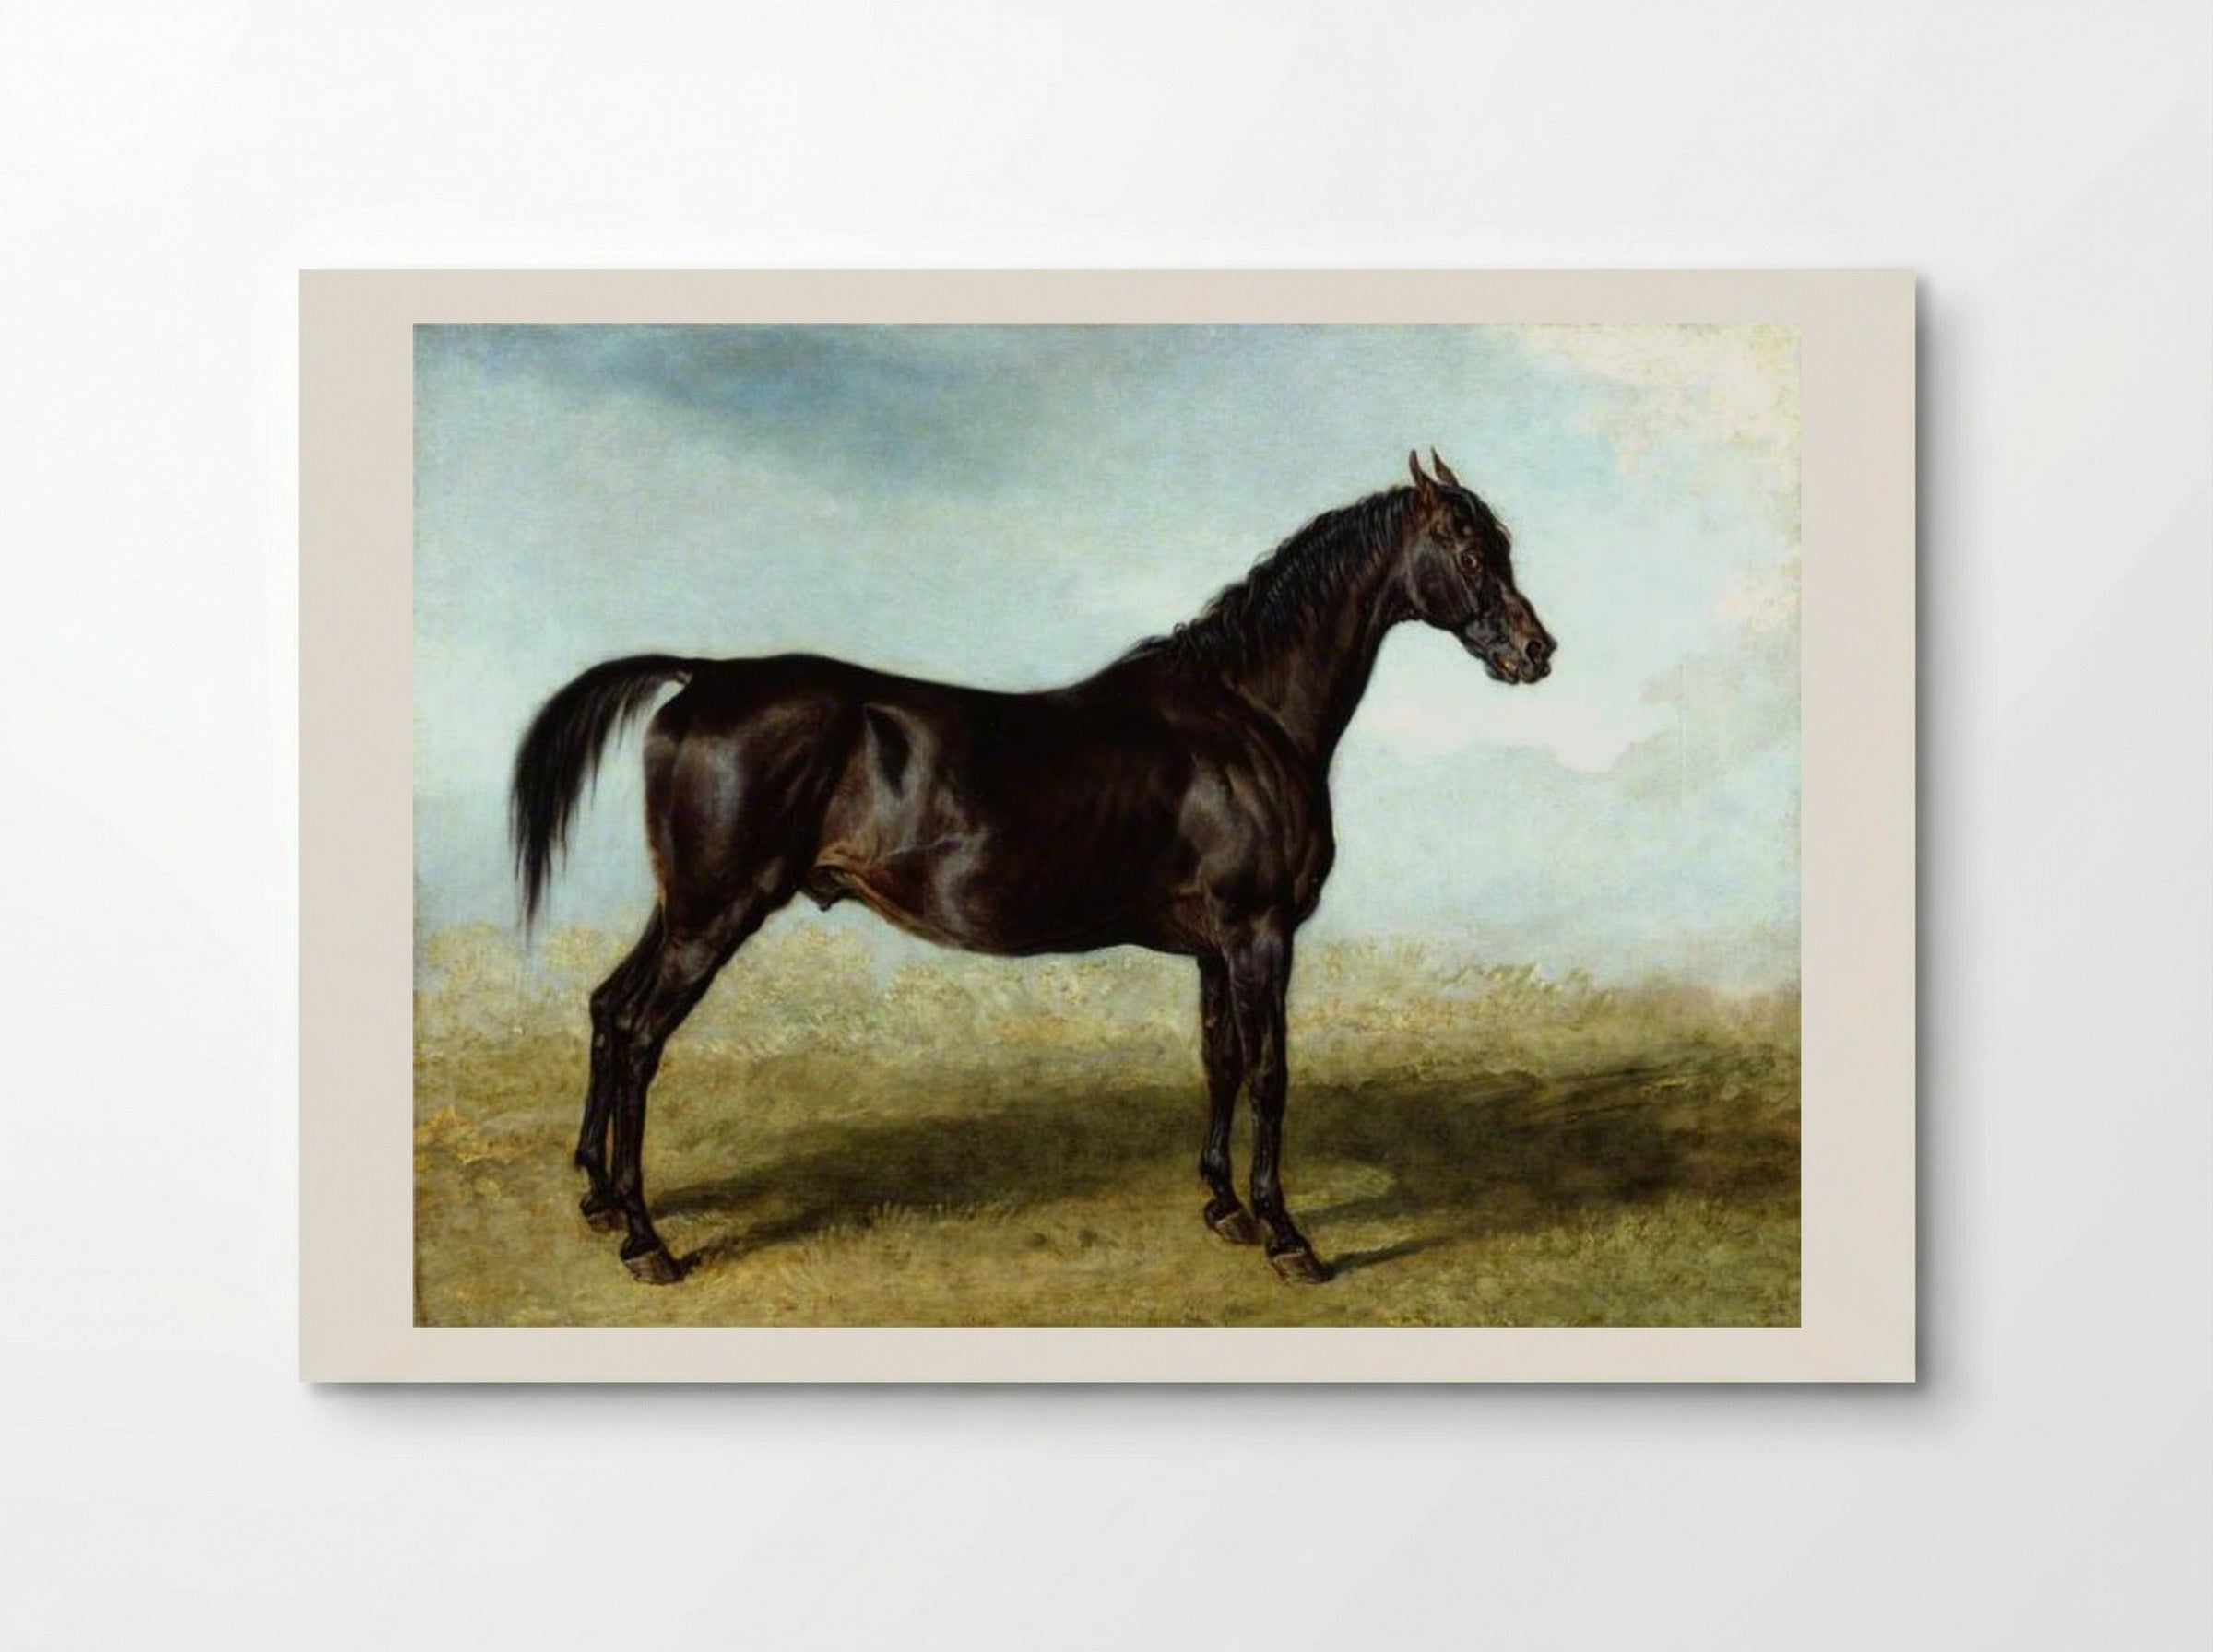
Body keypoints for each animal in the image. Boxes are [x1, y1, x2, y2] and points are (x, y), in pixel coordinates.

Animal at [510, 451, 1556, 1287]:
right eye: (1468, 550)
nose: (1534, 650)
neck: (1245, 715)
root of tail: (703, 676)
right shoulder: (1260, 934)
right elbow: (1271, 1071)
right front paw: (1288, 1236)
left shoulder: (1214, 946)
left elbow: (1218, 1059)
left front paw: (1223, 1207)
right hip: (715, 913)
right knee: (640, 1033)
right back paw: (647, 1240)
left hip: (682, 906)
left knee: (607, 1008)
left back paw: (599, 1200)